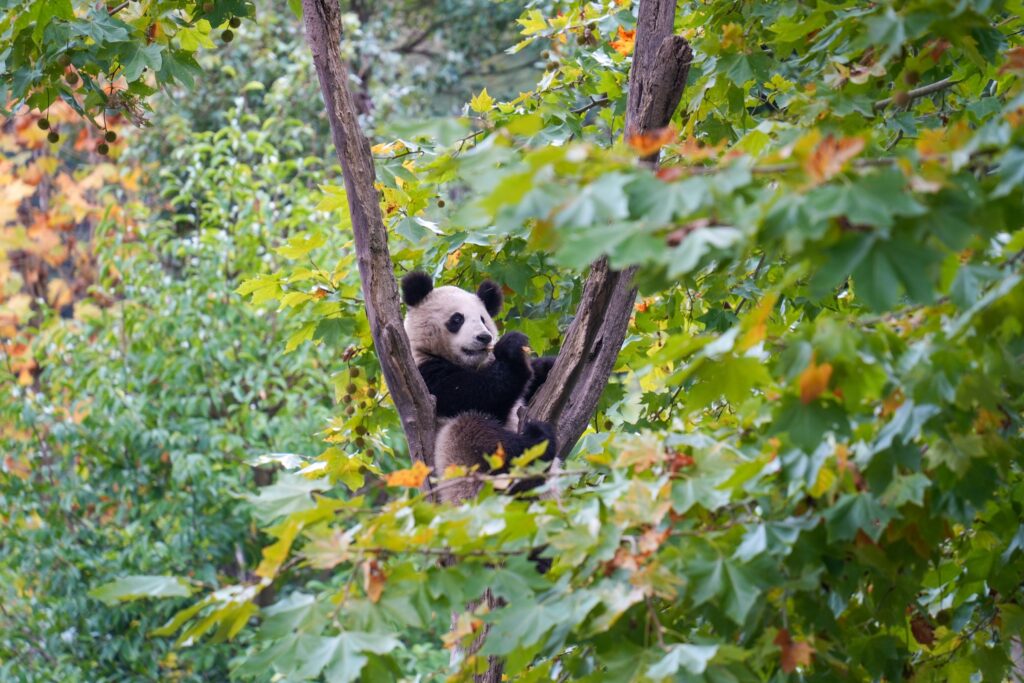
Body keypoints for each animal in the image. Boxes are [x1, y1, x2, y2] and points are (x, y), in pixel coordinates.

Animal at [401, 271, 558, 502]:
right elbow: (473, 393)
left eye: (483, 319)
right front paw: (512, 347)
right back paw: (537, 440)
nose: (484, 337)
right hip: (456, 462)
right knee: (475, 433)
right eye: (457, 319)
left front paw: (547, 364)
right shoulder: (423, 375)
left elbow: (532, 380)